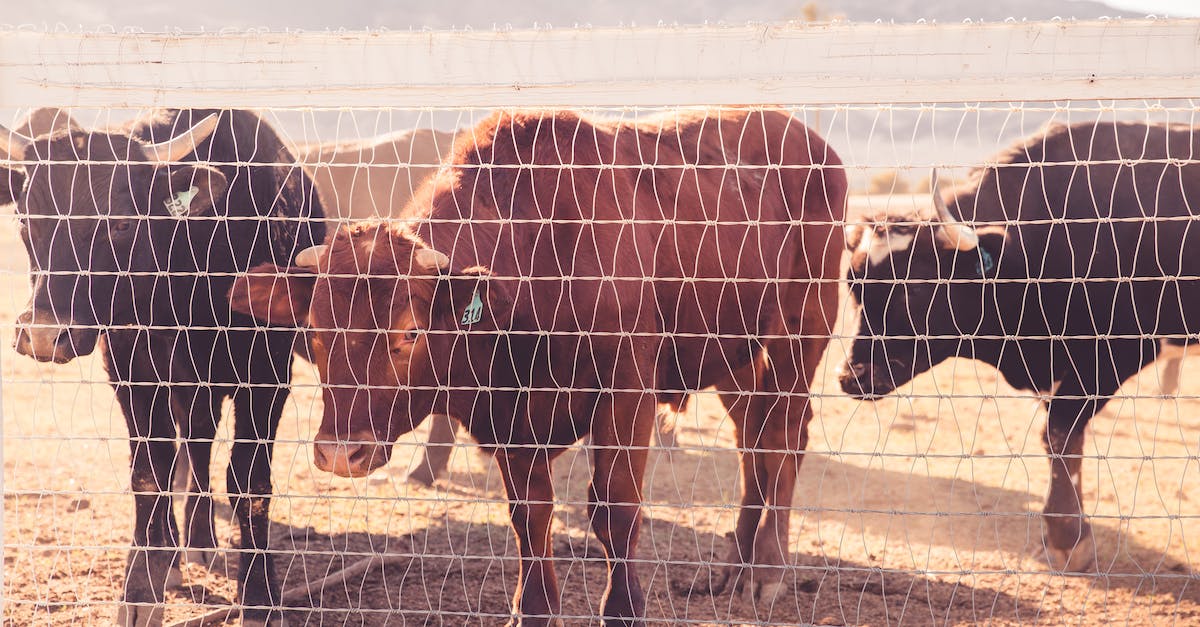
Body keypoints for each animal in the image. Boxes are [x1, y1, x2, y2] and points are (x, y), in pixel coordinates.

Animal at [0, 108, 325, 626]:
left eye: (119, 223)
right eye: (26, 220)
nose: (44, 334)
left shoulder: (268, 373)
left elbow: (250, 480)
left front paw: (259, 594)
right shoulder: (130, 368)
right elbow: (148, 473)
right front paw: (140, 586)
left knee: (200, 444)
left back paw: (199, 541)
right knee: (187, 447)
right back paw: (169, 552)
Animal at [229, 108, 847, 625]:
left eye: (409, 331)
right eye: (313, 332)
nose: (341, 453)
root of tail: (811, 142)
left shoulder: (626, 392)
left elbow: (614, 507)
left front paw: (623, 609)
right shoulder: (511, 418)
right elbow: (531, 514)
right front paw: (533, 609)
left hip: (800, 333)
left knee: (782, 441)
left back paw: (767, 571)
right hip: (734, 355)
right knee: (752, 443)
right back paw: (731, 568)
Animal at [837, 120, 1200, 573]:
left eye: (916, 288)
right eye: (853, 286)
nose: (851, 376)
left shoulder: (1108, 358)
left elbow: (1059, 434)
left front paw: (1067, 536)